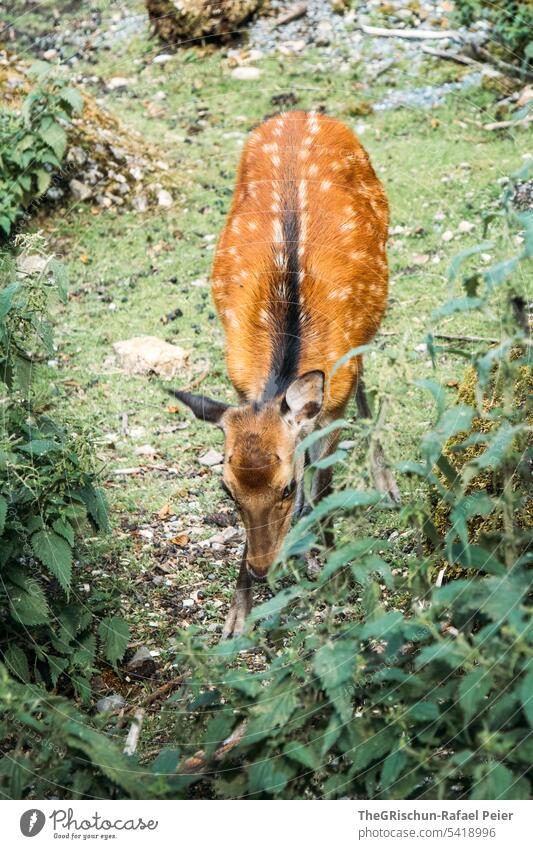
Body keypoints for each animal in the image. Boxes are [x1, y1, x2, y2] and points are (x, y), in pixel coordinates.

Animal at [168, 111, 396, 636]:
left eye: (285, 487)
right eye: (225, 488)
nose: (260, 567)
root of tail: (304, 113)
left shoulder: (332, 402)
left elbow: (325, 485)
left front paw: (332, 571)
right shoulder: (242, 387)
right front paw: (237, 615)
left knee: (365, 382)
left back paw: (384, 482)